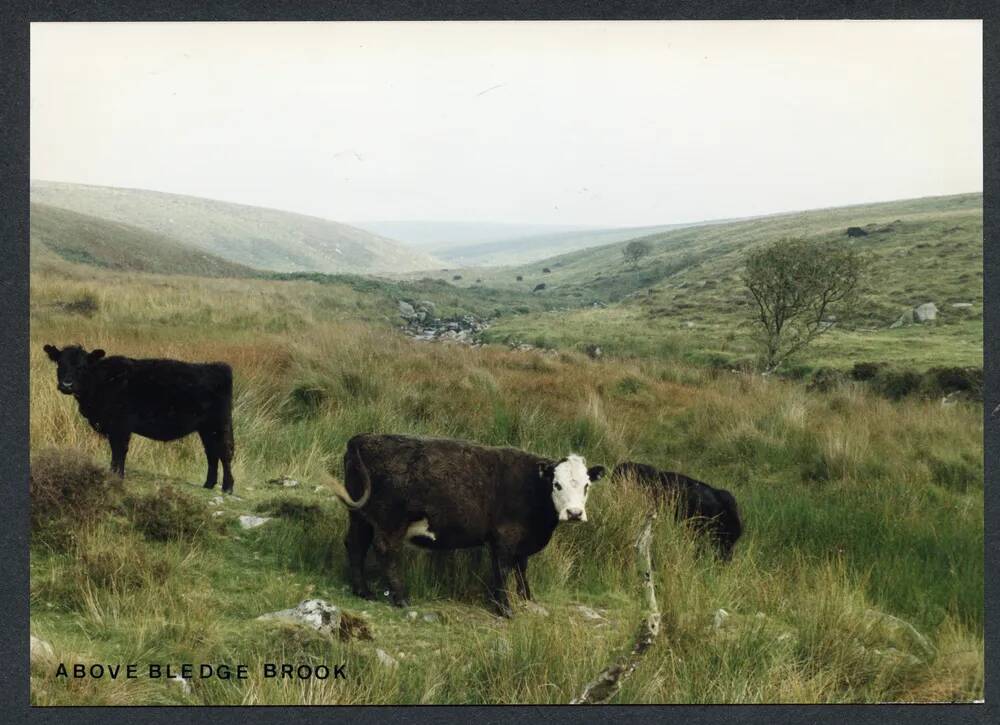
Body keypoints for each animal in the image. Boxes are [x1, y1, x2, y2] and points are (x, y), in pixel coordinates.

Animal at [43, 344, 236, 492]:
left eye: (82, 367)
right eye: (60, 364)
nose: (67, 384)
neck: (102, 381)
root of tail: (218, 367)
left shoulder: (120, 425)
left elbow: (119, 450)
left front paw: (116, 476)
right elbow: (116, 451)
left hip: (219, 425)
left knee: (224, 453)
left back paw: (227, 487)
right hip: (206, 429)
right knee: (212, 453)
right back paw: (208, 484)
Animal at [328, 432, 604, 612]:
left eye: (587, 486)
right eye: (557, 484)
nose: (574, 513)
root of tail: (362, 439)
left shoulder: (521, 541)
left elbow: (521, 568)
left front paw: (526, 598)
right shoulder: (504, 539)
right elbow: (503, 570)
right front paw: (504, 608)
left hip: (360, 516)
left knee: (356, 545)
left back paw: (363, 591)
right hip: (391, 521)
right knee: (385, 550)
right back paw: (401, 598)